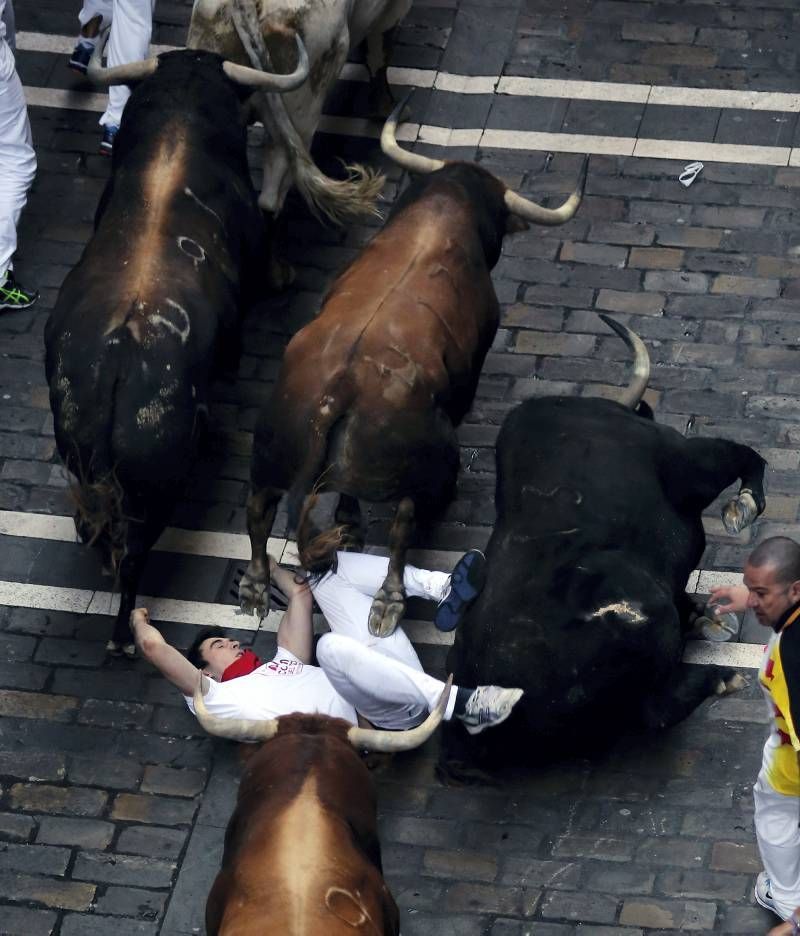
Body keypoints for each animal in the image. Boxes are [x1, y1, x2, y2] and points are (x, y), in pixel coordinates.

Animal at [46, 49, 272, 652]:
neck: (178, 128)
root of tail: (121, 357)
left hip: (83, 464)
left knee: (99, 534)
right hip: (157, 485)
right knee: (135, 554)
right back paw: (124, 633)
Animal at [239, 100, 588, 636]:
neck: (443, 211)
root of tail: (341, 387)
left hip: (272, 447)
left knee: (259, 508)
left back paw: (257, 585)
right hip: (415, 464)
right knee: (403, 526)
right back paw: (390, 599)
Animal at [444, 376, 764, 772]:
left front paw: (709, 617)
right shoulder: (689, 462)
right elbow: (745, 456)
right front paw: (743, 508)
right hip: (648, 618)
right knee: (654, 711)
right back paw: (722, 679)